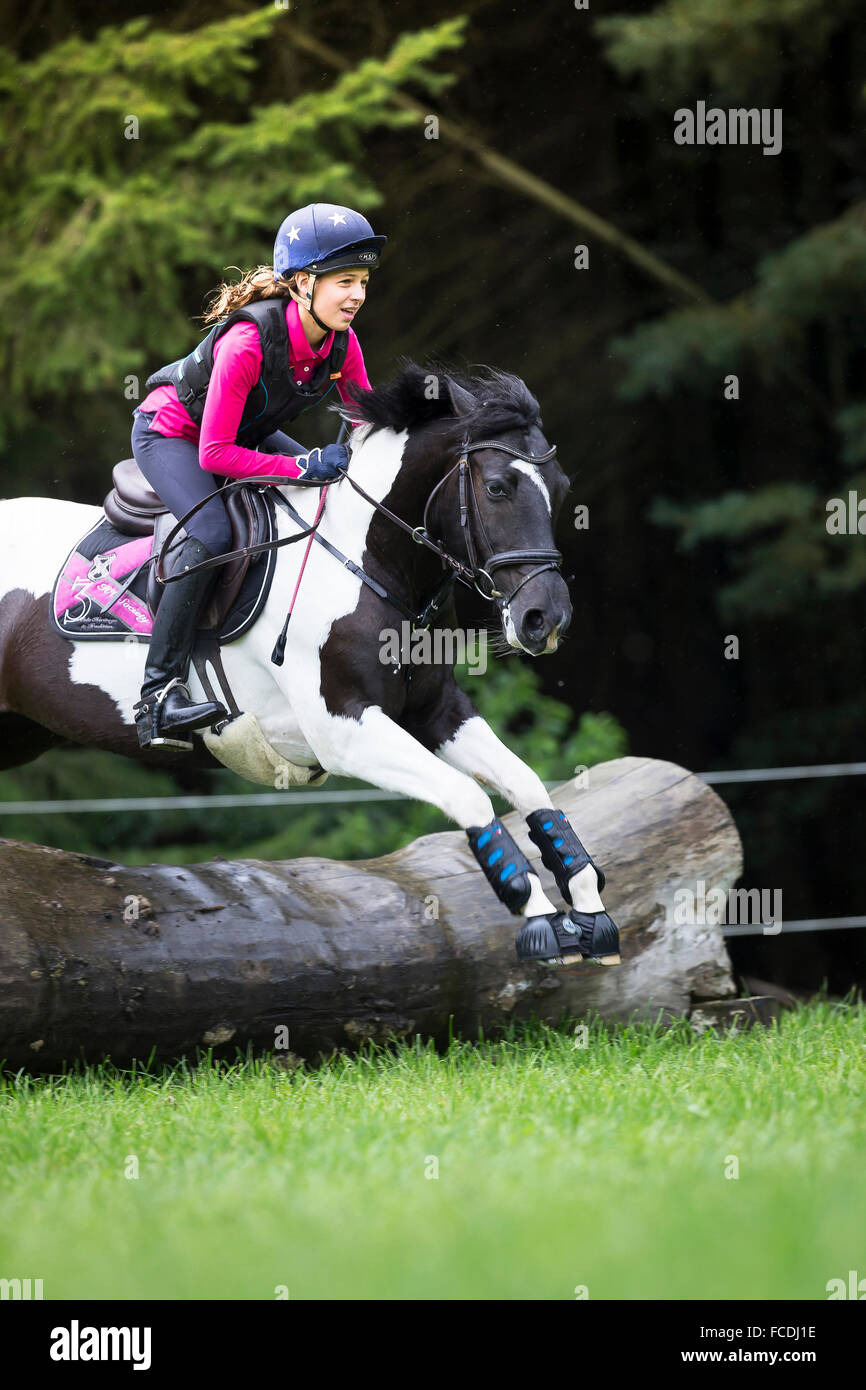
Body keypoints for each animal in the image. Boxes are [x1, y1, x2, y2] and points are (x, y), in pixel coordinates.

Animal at [0, 358, 622, 967]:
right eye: (497, 487)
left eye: (562, 489)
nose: (546, 620)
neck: (371, 564)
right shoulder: (342, 730)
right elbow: (466, 795)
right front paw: (536, 912)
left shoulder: (436, 711)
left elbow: (528, 786)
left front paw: (589, 909)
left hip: (24, 730)